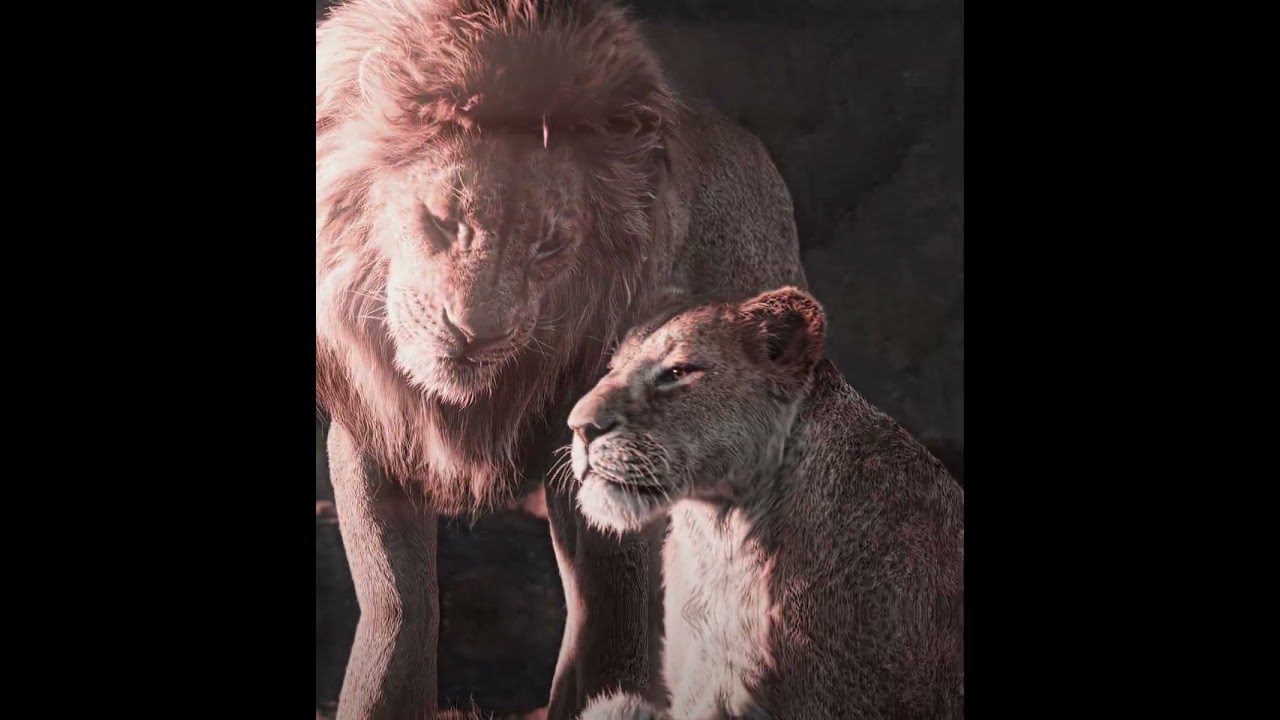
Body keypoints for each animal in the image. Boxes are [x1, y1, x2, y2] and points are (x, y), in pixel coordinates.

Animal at [315, 1, 806, 718]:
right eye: (443, 220)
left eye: (548, 247)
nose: (478, 334)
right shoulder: (373, 427)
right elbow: (397, 602)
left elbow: (613, 606)